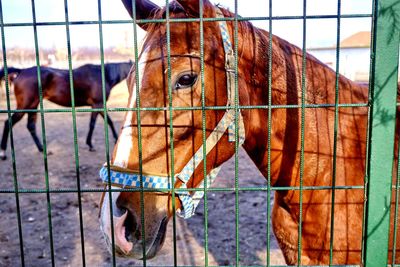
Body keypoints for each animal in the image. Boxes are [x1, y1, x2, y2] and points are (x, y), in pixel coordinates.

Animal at [0, 61, 133, 160]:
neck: (103, 75)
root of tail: (21, 71)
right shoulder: (98, 104)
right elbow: (94, 124)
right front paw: (91, 145)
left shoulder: (97, 105)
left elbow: (106, 122)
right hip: (25, 106)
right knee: (8, 123)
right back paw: (3, 153)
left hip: (33, 106)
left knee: (31, 126)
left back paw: (43, 150)